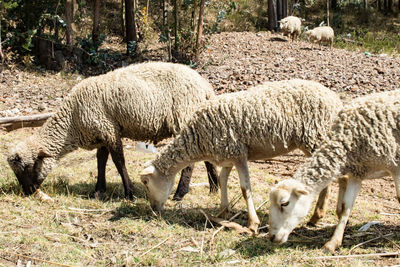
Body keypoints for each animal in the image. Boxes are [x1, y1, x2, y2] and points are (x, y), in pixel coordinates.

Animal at [6, 62, 219, 201]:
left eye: (27, 167)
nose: (27, 192)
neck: (72, 121)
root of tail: (205, 86)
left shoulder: (108, 129)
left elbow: (118, 162)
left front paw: (129, 193)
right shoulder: (100, 134)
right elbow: (101, 161)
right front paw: (98, 190)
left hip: (182, 116)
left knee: (190, 162)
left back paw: (180, 193)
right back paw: (214, 187)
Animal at [140, 78, 340, 233]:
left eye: (146, 183)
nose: (154, 210)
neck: (197, 139)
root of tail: (334, 98)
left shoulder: (239, 154)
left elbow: (245, 189)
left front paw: (253, 223)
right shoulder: (227, 157)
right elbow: (222, 180)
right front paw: (223, 212)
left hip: (315, 137)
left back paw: (316, 216)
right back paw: (316, 217)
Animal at [268, 90, 400, 253]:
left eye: (285, 203)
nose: (272, 237)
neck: (348, 140)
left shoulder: (395, 167)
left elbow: (399, 198)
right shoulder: (357, 173)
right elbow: (346, 208)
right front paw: (332, 243)